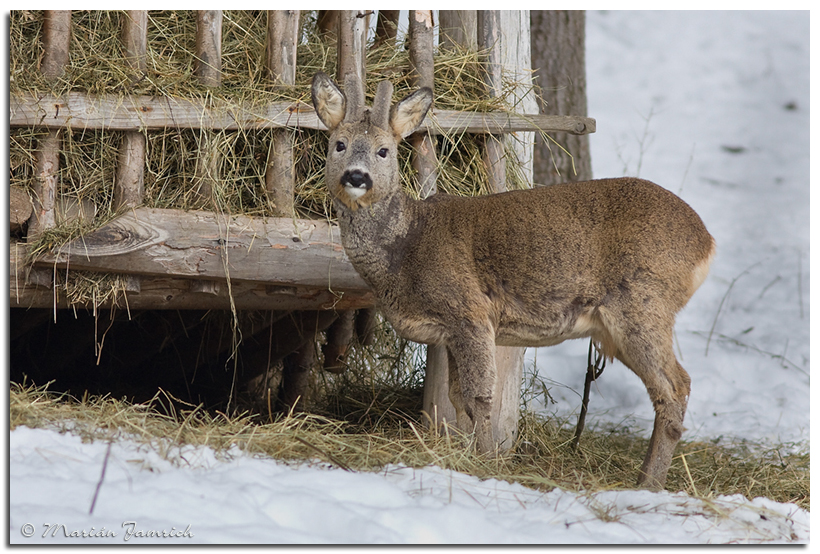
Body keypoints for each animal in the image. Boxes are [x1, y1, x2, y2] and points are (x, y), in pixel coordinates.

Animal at [310, 70, 716, 488]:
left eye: (384, 151)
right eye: (339, 144)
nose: (356, 177)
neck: (407, 246)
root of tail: (706, 241)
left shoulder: (469, 310)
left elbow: (480, 396)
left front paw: (487, 462)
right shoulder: (449, 333)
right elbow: (457, 397)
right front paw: (468, 455)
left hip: (642, 304)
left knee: (676, 386)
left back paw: (648, 483)